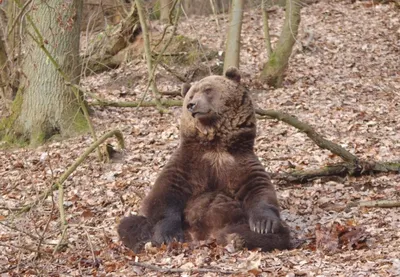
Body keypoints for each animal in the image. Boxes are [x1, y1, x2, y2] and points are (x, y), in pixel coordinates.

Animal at [119, 67, 290, 252]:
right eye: (191, 95)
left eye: (208, 89)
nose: (191, 105)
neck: (215, 145)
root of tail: (201, 236)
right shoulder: (188, 163)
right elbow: (164, 195)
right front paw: (168, 235)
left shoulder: (239, 163)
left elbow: (259, 191)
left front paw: (263, 225)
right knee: (129, 223)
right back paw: (144, 242)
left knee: (281, 233)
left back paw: (237, 237)